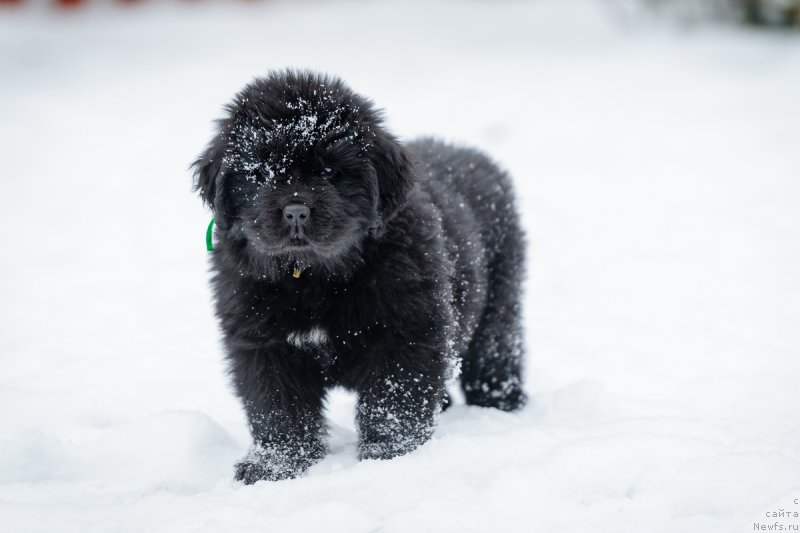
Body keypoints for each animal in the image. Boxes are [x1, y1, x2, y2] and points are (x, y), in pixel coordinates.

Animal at [193, 70, 528, 482]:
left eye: (328, 171)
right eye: (261, 172)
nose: (295, 211)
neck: (314, 277)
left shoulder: (406, 333)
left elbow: (393, 401)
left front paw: (390, 456)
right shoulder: (262, 342)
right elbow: (277, 408)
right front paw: (274, 467)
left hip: (501, 297)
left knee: (496, 349)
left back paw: (500, 403)